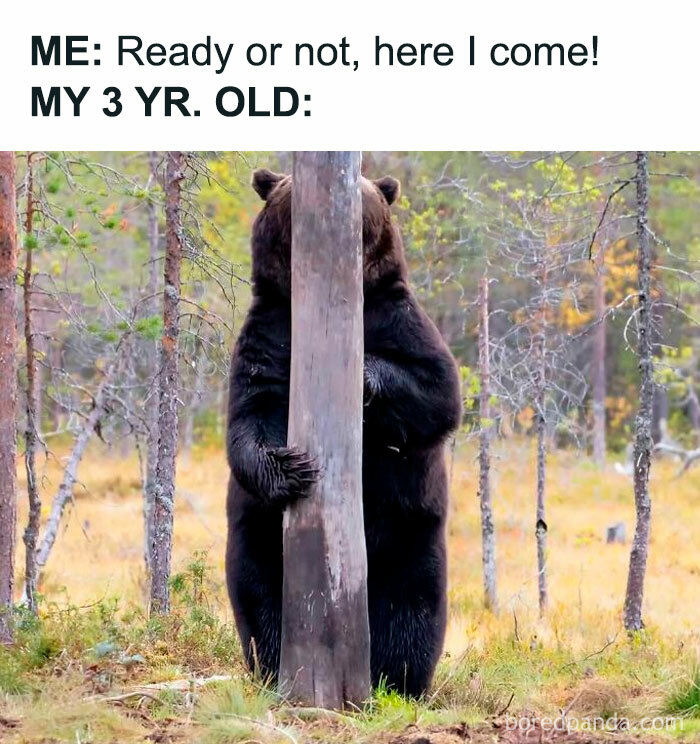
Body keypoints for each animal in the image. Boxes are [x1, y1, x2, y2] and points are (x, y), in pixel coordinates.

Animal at [226, 167, 462, 698]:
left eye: (365, 192)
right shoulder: (270, 332)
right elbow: (250, 413)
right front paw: (291, 467)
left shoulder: (398, 317)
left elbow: (437, 391)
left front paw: (365, 374)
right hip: (260, 539)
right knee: (259, 598)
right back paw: (274, 666)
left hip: (410, 535)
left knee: (411, 610)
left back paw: (399, 680)